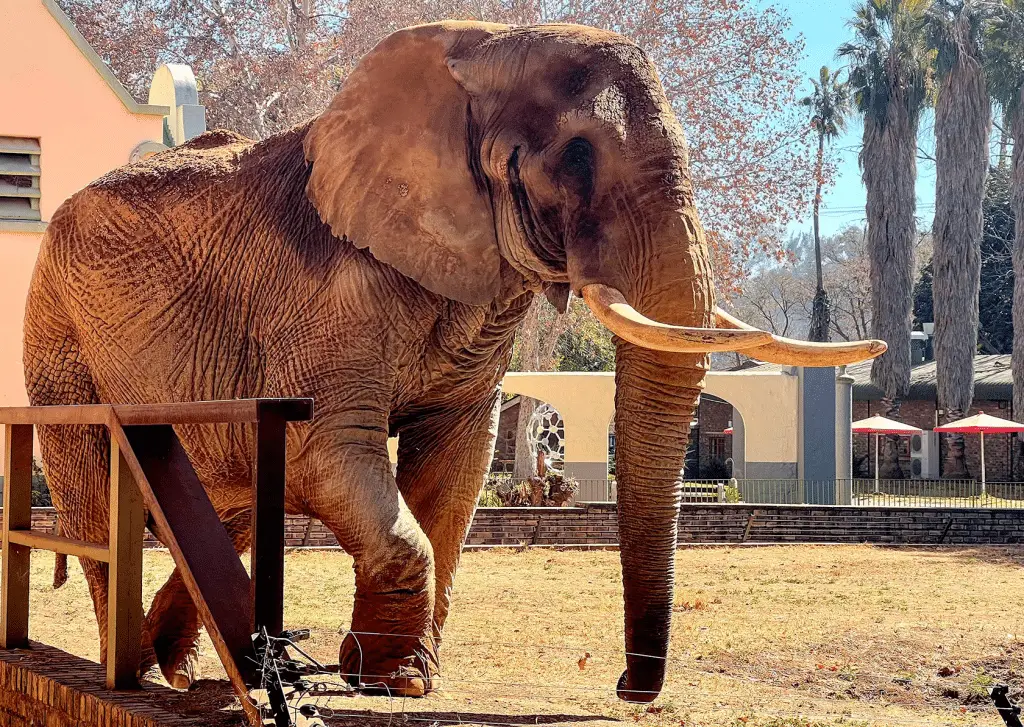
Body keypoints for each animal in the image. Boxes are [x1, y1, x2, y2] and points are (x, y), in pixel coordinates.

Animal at [25, 21, 888, 704]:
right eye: (578, 156)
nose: (621, 685)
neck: (484, 46)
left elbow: (455, 462)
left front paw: (396, 677)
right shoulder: (324, 297)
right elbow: (325, 449)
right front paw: (394, 680)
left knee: (220, 500)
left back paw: (182, 673)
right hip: (57, 332)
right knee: (98, 495)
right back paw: (131, 672)